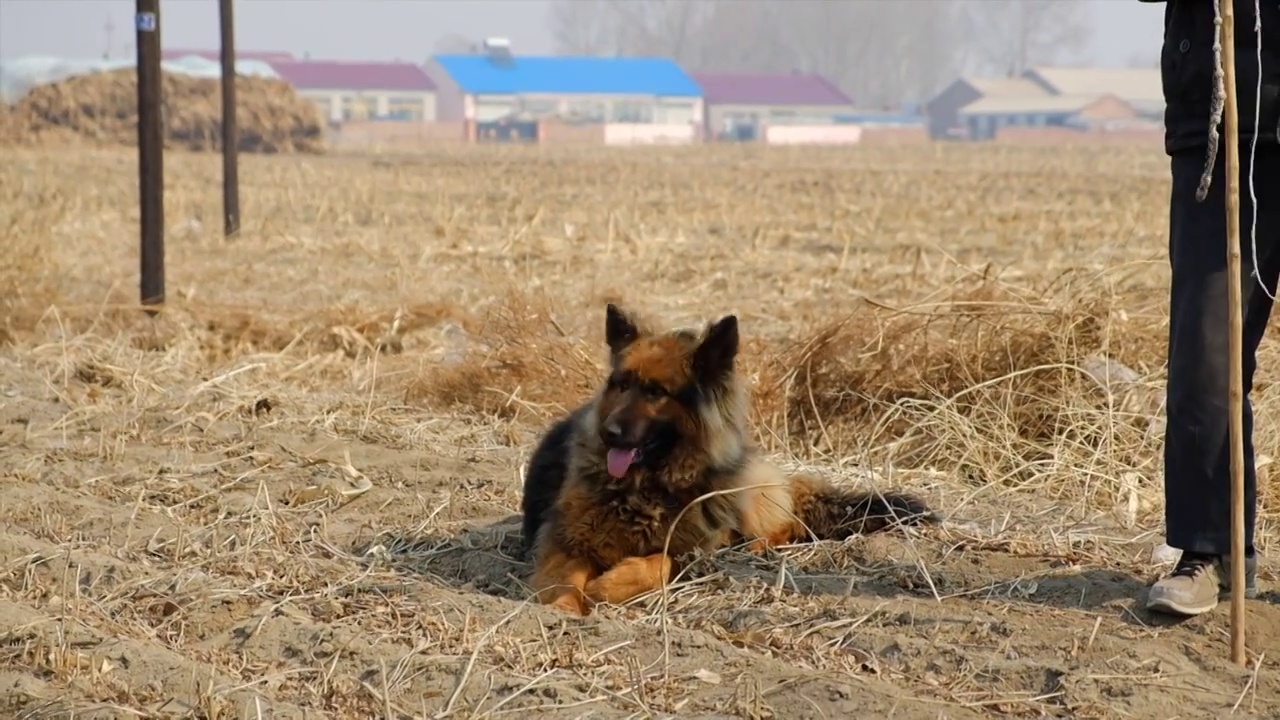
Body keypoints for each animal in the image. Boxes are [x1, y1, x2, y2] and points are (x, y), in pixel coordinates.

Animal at [519, 301, 942, 609]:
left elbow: (658, 563)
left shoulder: (692, 553)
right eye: (620, 385)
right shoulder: (564, 539)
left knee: (783, 524)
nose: (609, 434)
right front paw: (561, 609)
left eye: (656, 392)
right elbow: (562, 578)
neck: (646, 488)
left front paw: (608, 587)